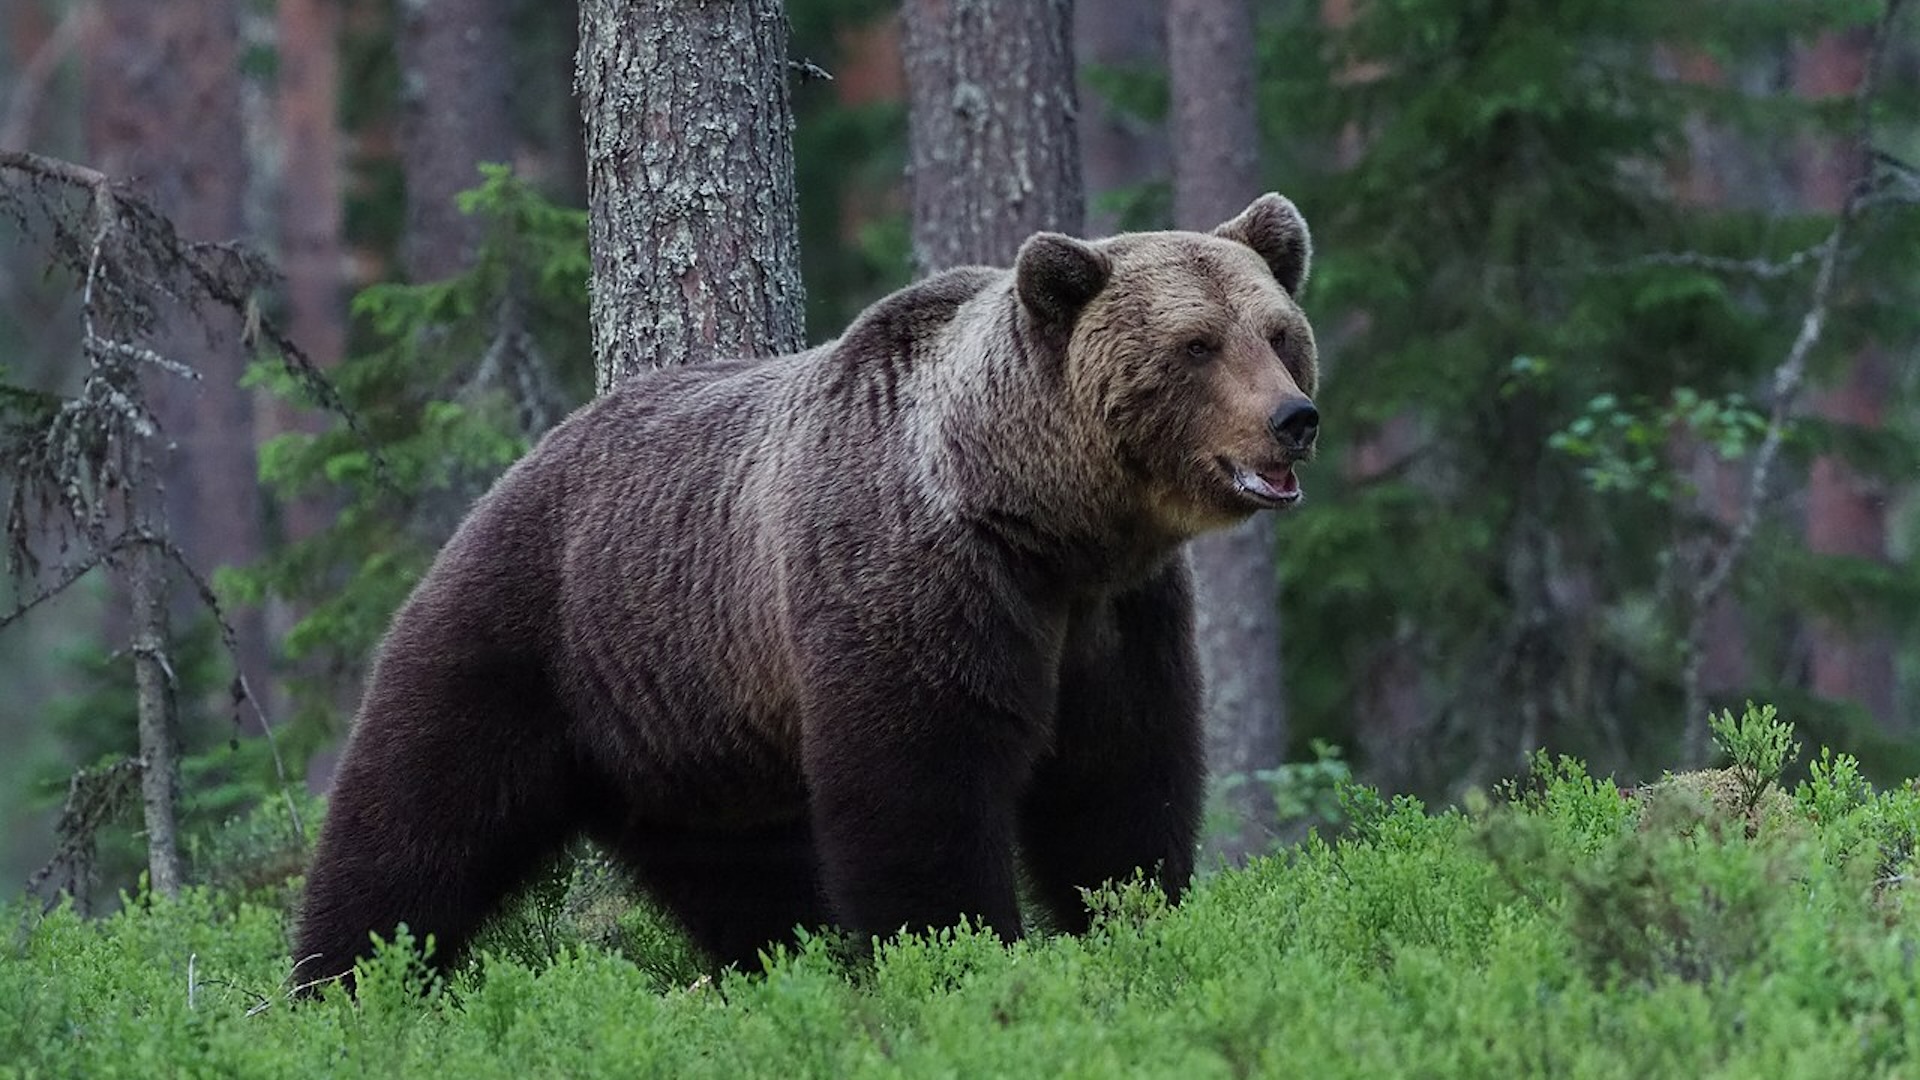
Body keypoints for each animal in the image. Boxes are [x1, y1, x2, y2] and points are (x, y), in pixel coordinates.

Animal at [295, 191, 1320, 983]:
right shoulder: (917, 581)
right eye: (1195, 345)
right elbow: (920, 791)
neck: (1045, 521)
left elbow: (1120, 780)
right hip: (528, 633)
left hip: (686, 733)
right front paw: (959, 952)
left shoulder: (1117, 617)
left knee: (743, 876)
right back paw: (345, 980)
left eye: (1278, 334)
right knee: (416, 818)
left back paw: (781, 963)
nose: (1294, 418)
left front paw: (1132, 915)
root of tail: (520, 464)